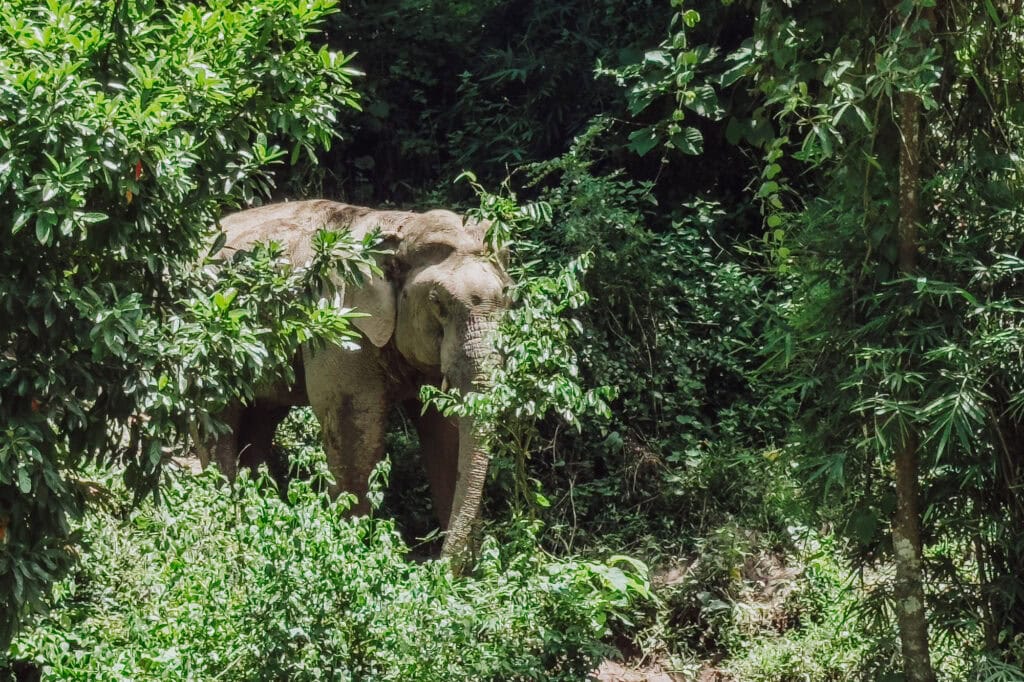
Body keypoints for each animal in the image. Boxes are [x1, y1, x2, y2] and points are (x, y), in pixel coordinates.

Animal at [195, 200, 509, 562]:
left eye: (507, 298)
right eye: (438, 303)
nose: (436, 563)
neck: (399, 228)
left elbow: (445, 433)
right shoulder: (339, 325)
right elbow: (355, 429)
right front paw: (352, 551)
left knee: (262, 416)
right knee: (218, 417)